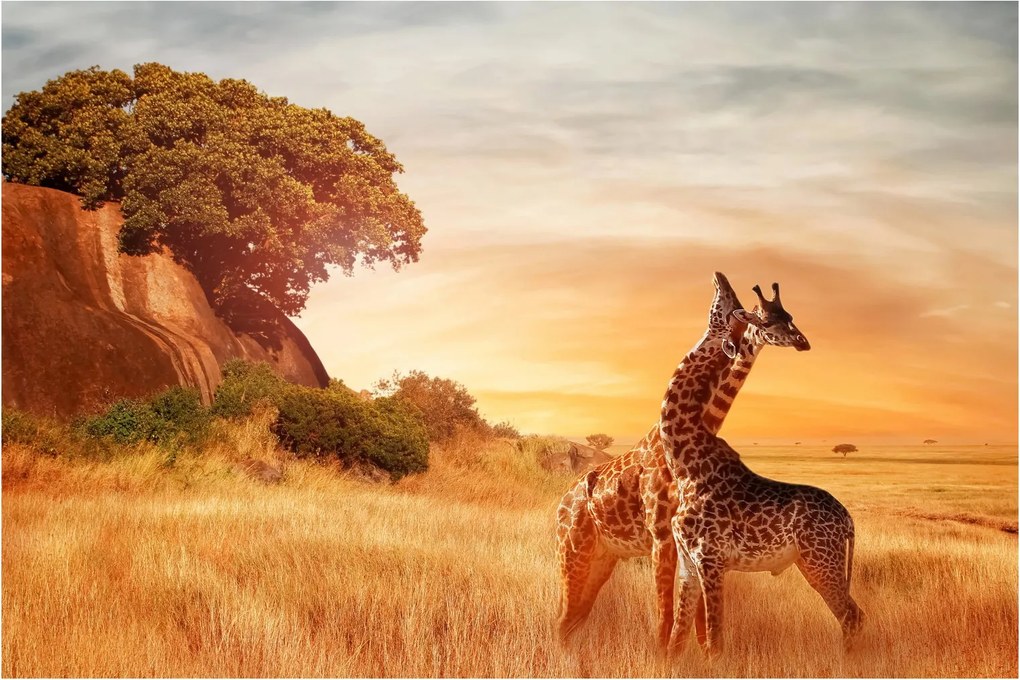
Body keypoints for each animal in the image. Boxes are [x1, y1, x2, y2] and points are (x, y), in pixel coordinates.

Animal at [555, 272, 809, 649]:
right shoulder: (663, 535)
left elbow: (696, 622)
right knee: (563, 618)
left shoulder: (690, 543)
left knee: (573, 618)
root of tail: (562, 503)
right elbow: (667, 616)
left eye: (788, 315)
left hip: (603, 557)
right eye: (763, 317)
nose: (802, 342)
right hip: (573, 552)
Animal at [659, 280, 862, 656]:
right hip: (817, 561)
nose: (802, 341)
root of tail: (848, 521)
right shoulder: (687, 564)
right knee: (853, 615)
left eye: (787, 318)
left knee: (851, 615)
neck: (684, 465)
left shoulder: (711, 559)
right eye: (767, 319)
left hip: (820, 560)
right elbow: (677, 641)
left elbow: (715, 640)